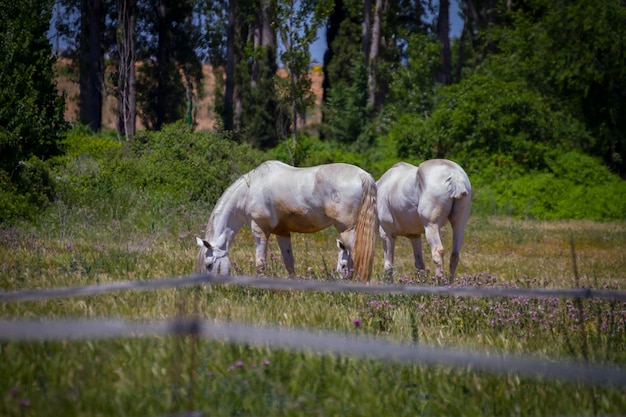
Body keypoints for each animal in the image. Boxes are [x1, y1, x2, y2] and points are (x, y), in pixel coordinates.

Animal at [196, 159, 376, 280]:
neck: (248, 192)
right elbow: (289, 262)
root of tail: (362, 175)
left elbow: (260, 262)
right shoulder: (282, 232)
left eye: (209, 265)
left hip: (348, 231)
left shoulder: (259, 229)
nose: (209, 289)